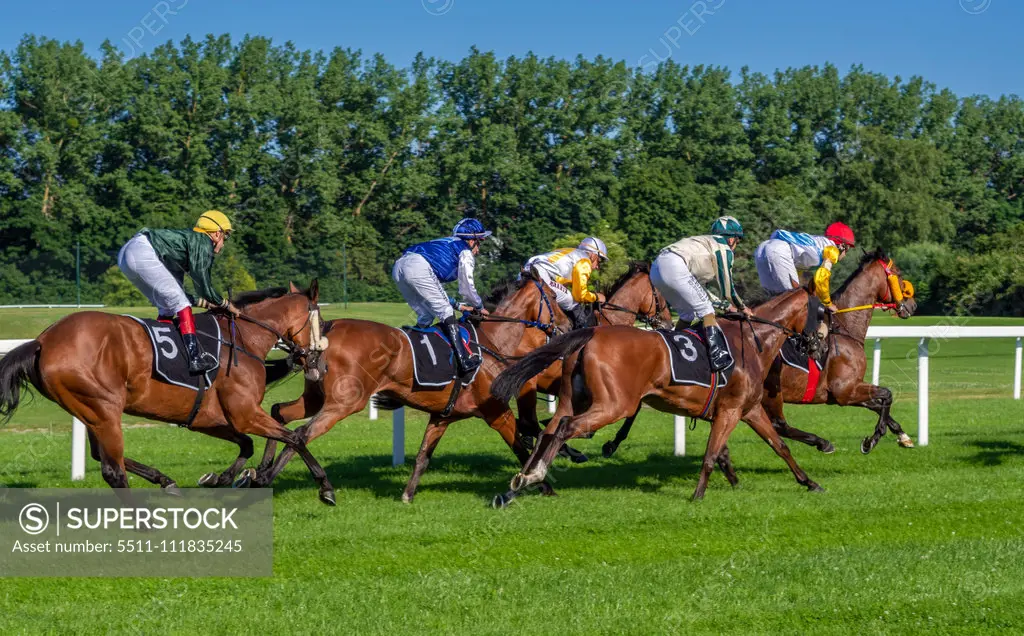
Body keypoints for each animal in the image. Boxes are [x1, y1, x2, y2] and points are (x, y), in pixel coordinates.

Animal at [0, 280, 335, 503]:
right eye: (321, 320)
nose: (317, 362)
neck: (244, 339)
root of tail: (43, 341)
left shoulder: (206, 418)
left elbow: (247, 444)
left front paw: (224, 477)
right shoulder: (244, 413)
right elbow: (294, 437)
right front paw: (324, 487)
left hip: (91, 411)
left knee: (101, 455)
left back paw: (165, 480)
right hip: (102, 408)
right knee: (112, 469)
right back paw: (142, 522)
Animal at [244, 270, 573, 503]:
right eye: (554, 298)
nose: (568, 326)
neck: (492, 343)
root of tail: (323, 332)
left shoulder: (442, 416)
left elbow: (423, 457)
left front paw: (407, 494)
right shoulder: (496, 412)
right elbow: (521, 446)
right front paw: (541, 485)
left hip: (316, 396)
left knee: (281, 414)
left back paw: (259, 471)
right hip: (346, 402)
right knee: (301, 433)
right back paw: (293, 482)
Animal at [491, 288, 819, 505]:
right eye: (822, 312)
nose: (818, 344)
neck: (752, 342)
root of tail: (591, 334)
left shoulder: (748, 409)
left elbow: (779, 447)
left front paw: (809, 482)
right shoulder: (731, 410)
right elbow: (711, 454)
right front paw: (698, 494)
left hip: (574, 398)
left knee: (548, 428)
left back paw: (523, 479)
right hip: (615, 405)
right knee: (564, 427)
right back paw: (536, 475)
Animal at [598, 247, 921, 456]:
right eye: (898, 273)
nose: (912, 305)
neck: (843, 327)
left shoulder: (845, 391)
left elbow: (880, 403)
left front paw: (902, 436)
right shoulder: (844, 390)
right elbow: (886, 395)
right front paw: (872, 440)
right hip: (770, 391)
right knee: (780, 423)